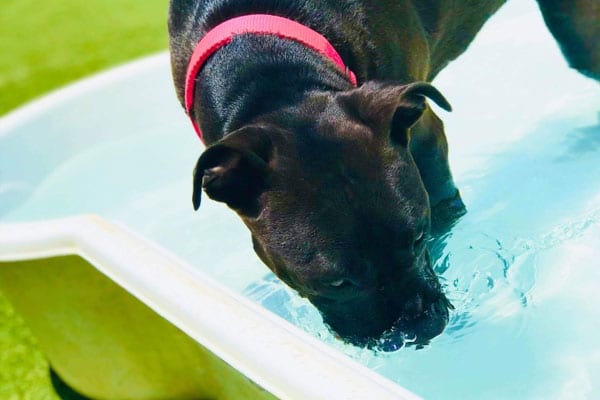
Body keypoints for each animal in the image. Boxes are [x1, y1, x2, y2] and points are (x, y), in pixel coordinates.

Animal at [169, 0, 600, 346]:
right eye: (335, 282)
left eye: (418, 237)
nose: (421, 328)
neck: (271, 71)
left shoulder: (425, 138)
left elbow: (445, 214)